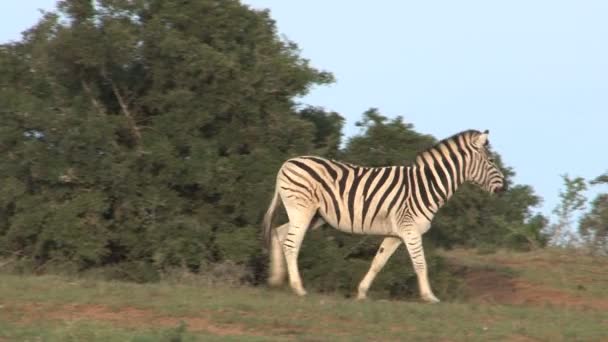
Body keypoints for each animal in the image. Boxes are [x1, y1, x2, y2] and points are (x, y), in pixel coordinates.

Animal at [264, 129, 506, 302]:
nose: (504, 189)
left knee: (279, 232)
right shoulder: (410, 229)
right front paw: (430, 297)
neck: (426, 185)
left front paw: (361, 293)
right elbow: (421, 264)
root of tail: (287, 163)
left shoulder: (396, 233)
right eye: (491, 161)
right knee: (291, 244)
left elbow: (378, 262)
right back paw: (298, 289)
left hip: (312, 215)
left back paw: (275, 280)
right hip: (302, 209)